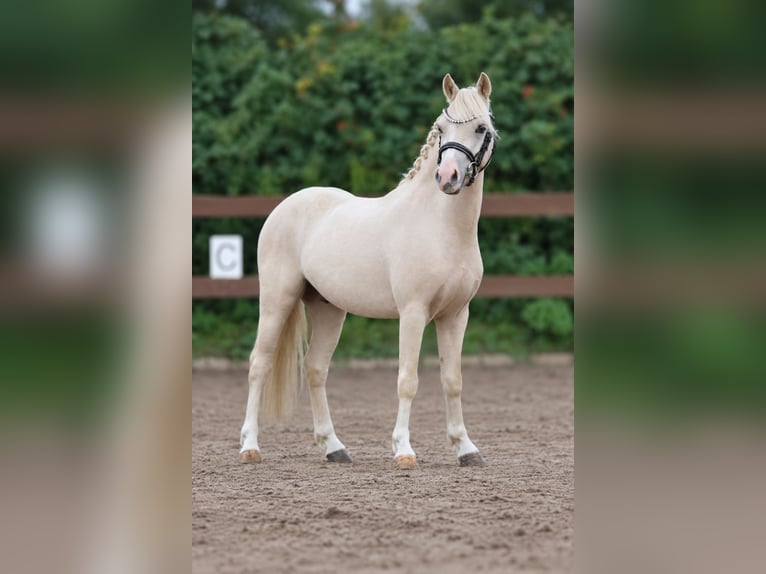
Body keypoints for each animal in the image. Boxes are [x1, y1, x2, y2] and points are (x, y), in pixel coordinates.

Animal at [239, 72, 498, 468]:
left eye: (481, 128)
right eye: (441, 128)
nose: (448, 177)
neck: (440, 227)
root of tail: (285, 206)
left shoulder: (456, 315)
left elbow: (452, 380)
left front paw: (466, 449)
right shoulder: (413, 313)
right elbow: (407, 379)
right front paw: (404, 451)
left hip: (328, 309)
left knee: (315, 369)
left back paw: (334, 447)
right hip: (276, 301)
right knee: (259, 364)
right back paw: (250, 447)